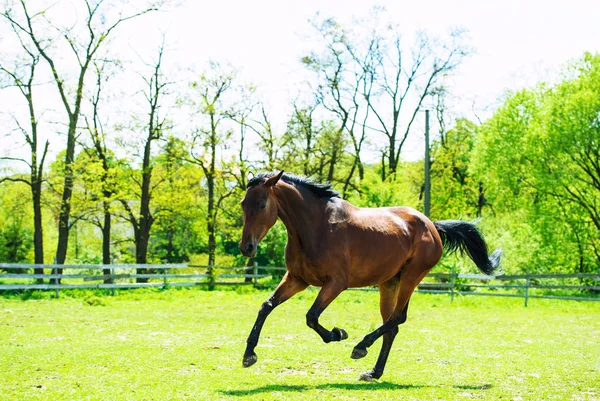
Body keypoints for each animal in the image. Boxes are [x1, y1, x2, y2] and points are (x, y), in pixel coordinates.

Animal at [237, 170, 500, 380]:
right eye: (242, 203)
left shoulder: (336, 283)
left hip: (411, 278)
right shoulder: (296, 280)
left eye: (262, 204)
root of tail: (432, 225)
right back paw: (374, 372)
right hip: (389, 283)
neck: (315, 227)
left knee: (397, 318)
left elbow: (311, 316)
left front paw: (337, 334)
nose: (246, 248)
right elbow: (266, 306)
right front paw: (249, 355)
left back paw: (361, 347)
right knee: (392, 325)